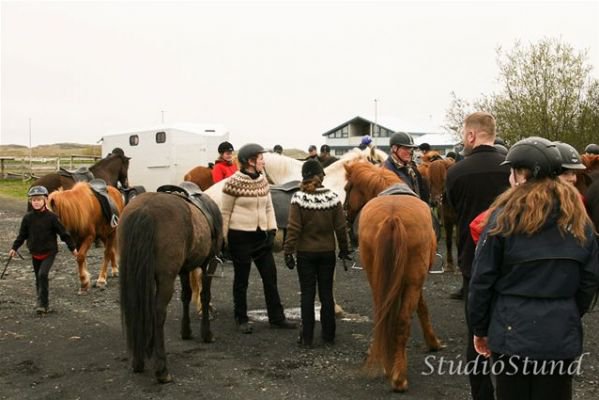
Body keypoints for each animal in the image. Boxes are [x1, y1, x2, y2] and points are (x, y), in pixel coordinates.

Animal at [117, 191, 223, 384]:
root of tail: (144, 211)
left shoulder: (184, 269)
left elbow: (186, 296)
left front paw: (186, 331)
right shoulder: (209, 265)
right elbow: (205, 296)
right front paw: (207, 333)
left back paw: (138, 360)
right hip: (166, 279)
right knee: (158, 313)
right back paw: (162, 369)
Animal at [342, 162, 446, 390]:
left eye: (346, 188)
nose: (346, 216)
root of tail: (392, 215)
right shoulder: (414, 282)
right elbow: (422, 308)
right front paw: (433, 342)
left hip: (376, 278)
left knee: (382, 314)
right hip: (413, 281)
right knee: (402, 321)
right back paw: (398, 376)